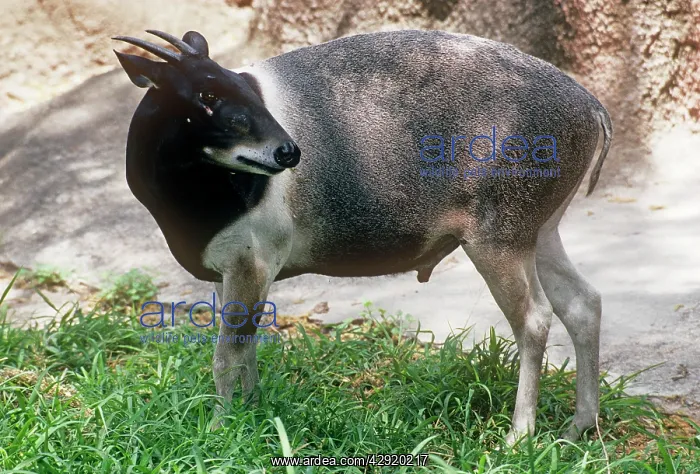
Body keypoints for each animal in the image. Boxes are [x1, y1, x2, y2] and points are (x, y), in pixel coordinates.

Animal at [113, 28, 612, 445]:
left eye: (242, 88)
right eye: (208, 93)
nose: (288, 152)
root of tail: (590, 105)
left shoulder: (251, 264)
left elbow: (227, 355)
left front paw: (219, 427)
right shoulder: (229, 272)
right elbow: (248, 348)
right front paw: (250, 414)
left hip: (498, 243)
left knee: (535, 320)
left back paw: (519, 436)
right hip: (540, 235)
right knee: (582, 304)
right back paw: (579, 426)